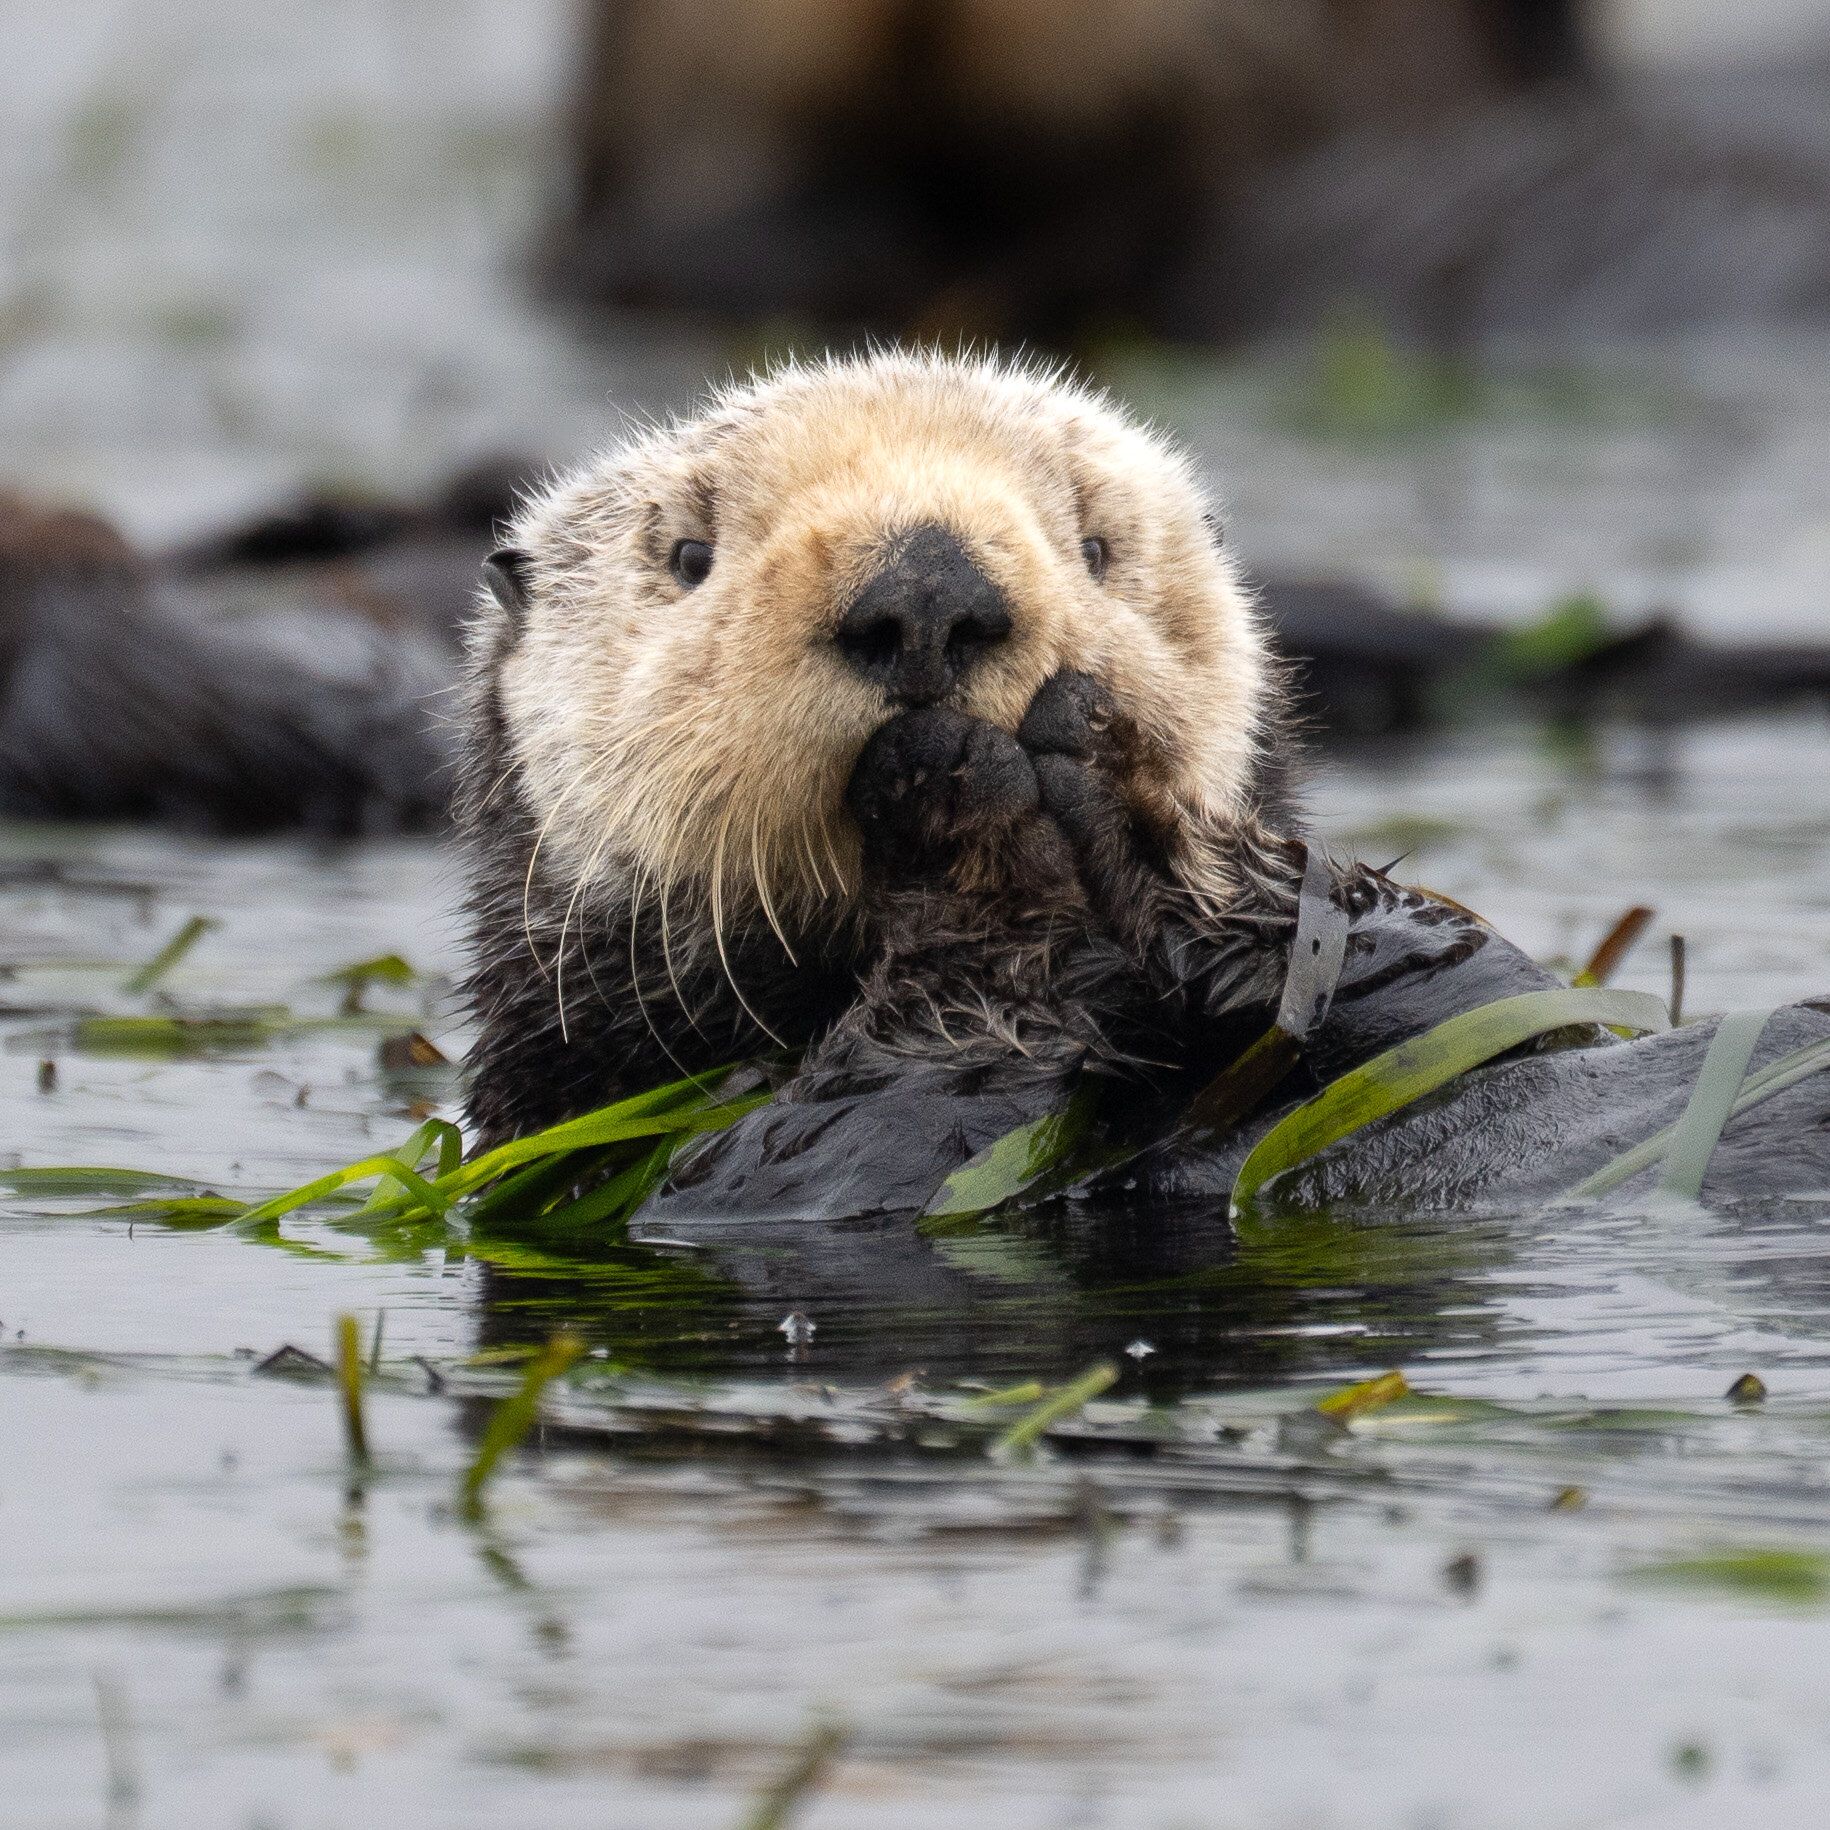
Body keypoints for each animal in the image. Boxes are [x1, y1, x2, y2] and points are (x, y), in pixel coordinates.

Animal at [462, 350, 1830, 1214]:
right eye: (688, 554)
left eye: (1098, 542)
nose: (926, 589)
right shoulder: (617, 1156)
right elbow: (860, 1147)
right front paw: (979, 836)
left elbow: (1482, 987)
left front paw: (1122, 803)